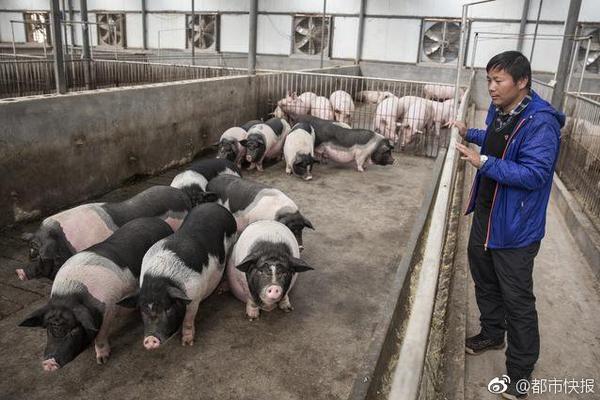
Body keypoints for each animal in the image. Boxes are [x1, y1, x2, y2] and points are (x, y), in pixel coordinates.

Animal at [19, 217, 173, 370]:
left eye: (74, 329)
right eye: (48, 328)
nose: (49, 363)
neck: (72, 294)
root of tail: (159, 221)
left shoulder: (109, 307)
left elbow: (100, 336)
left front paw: (102, 361)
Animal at [117, 203, 237, 346]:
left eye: (168, 307)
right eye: (142, 309)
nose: (151, 339)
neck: (159, 278)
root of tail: (217, 206)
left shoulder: (194, 296)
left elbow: (188, 319)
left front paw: (187, 343)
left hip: (233, 242)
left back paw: (221, 289)